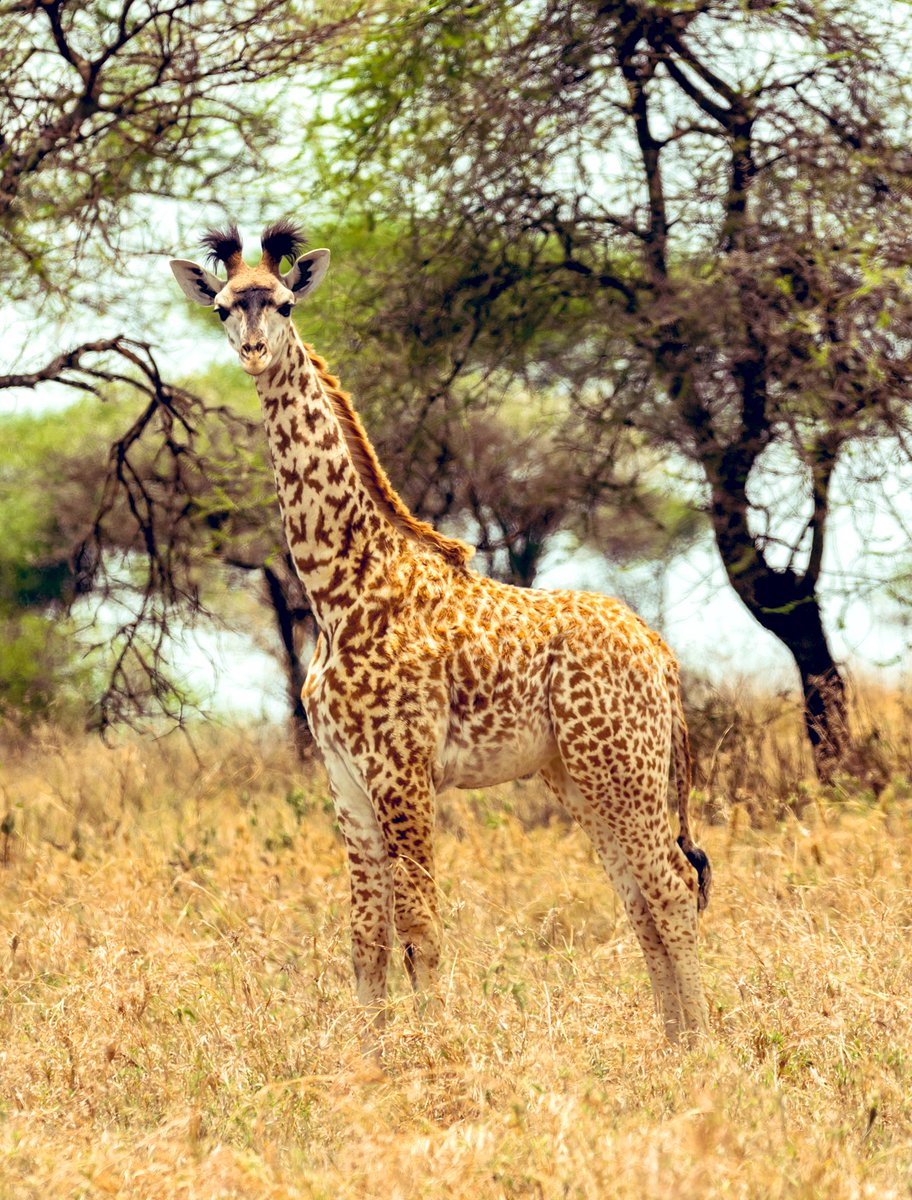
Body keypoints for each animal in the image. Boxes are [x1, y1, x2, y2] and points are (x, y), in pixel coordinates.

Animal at [170, 220, 712, 1049]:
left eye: (286, 304)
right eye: (224, 307)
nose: (255, 349)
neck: (339, 591)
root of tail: (662, 654)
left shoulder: (402, 768)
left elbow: (419, 928)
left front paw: (438, 1056)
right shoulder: (344, 779)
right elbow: (364, 939)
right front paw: (375, 1060)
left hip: (621, 766)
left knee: (673, 885)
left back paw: (705, 1048)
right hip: (582, 774)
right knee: (639, 897)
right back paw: (671, 1045)